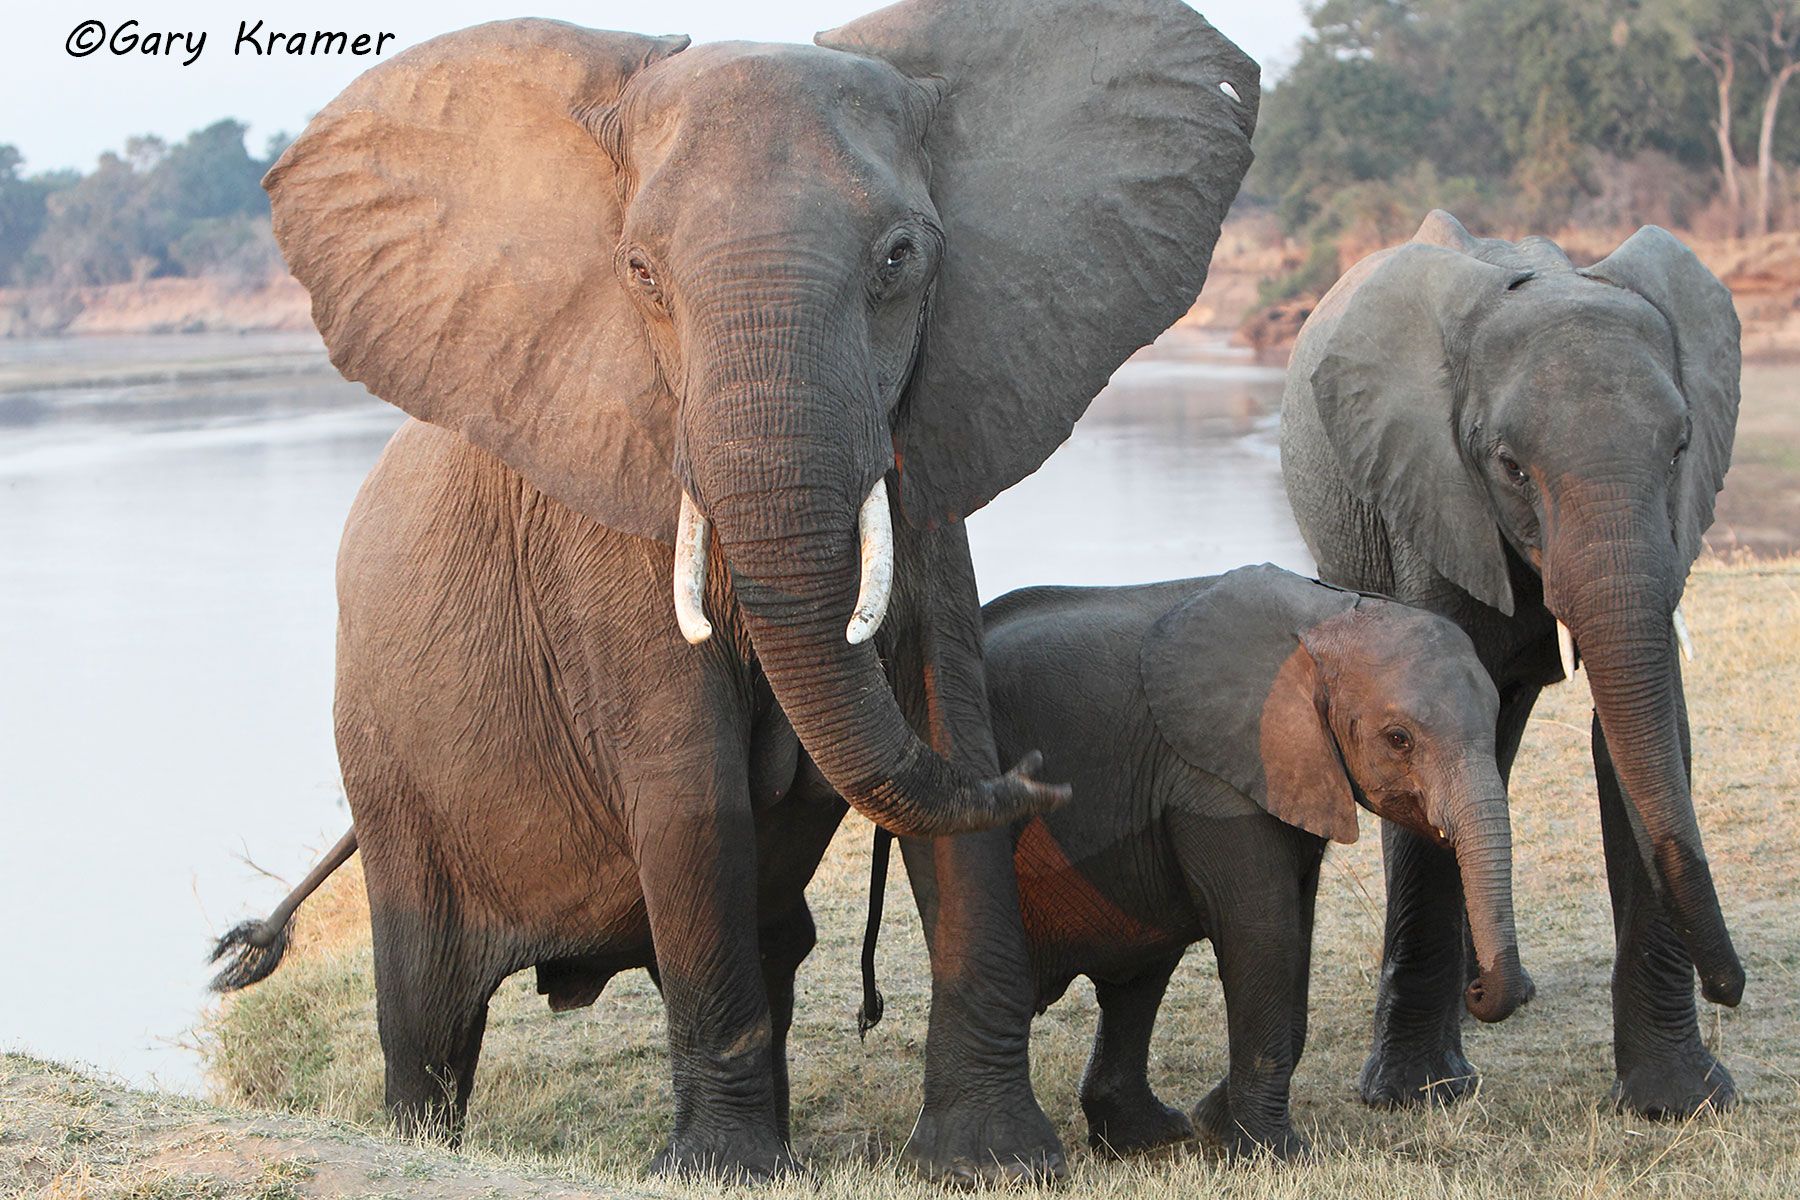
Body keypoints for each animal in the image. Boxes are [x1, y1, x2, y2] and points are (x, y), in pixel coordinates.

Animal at [205, 0, 1259, 1182]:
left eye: (900, 259)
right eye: (639, 272)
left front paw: (995, 1163)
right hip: (392, 766)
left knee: (776, 939)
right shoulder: (611, 524)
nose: (1044, 779)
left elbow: (949, 717)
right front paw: (725, 1173)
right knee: (427, 1009)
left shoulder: (930, 459)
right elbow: (689, 783)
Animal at [976, 564, 1529, 1160]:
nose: (1479, 990)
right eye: (1398, 739)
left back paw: (1152, 1135)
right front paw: (1277, 1155)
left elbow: (1295, 931)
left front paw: (1215, 1123)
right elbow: (1264, 930)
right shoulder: (1212, 777)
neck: (1326, 618)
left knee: (1139, 979)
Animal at [1279, 210, 1744, 1116]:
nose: (1730, 987)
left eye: (1680, 450)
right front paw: (1416, 1095)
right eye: (1510, 466)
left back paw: (1499, 990)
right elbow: (1420, 714)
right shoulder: (1428, 497)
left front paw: (1680, 1102)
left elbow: (1645, 736)